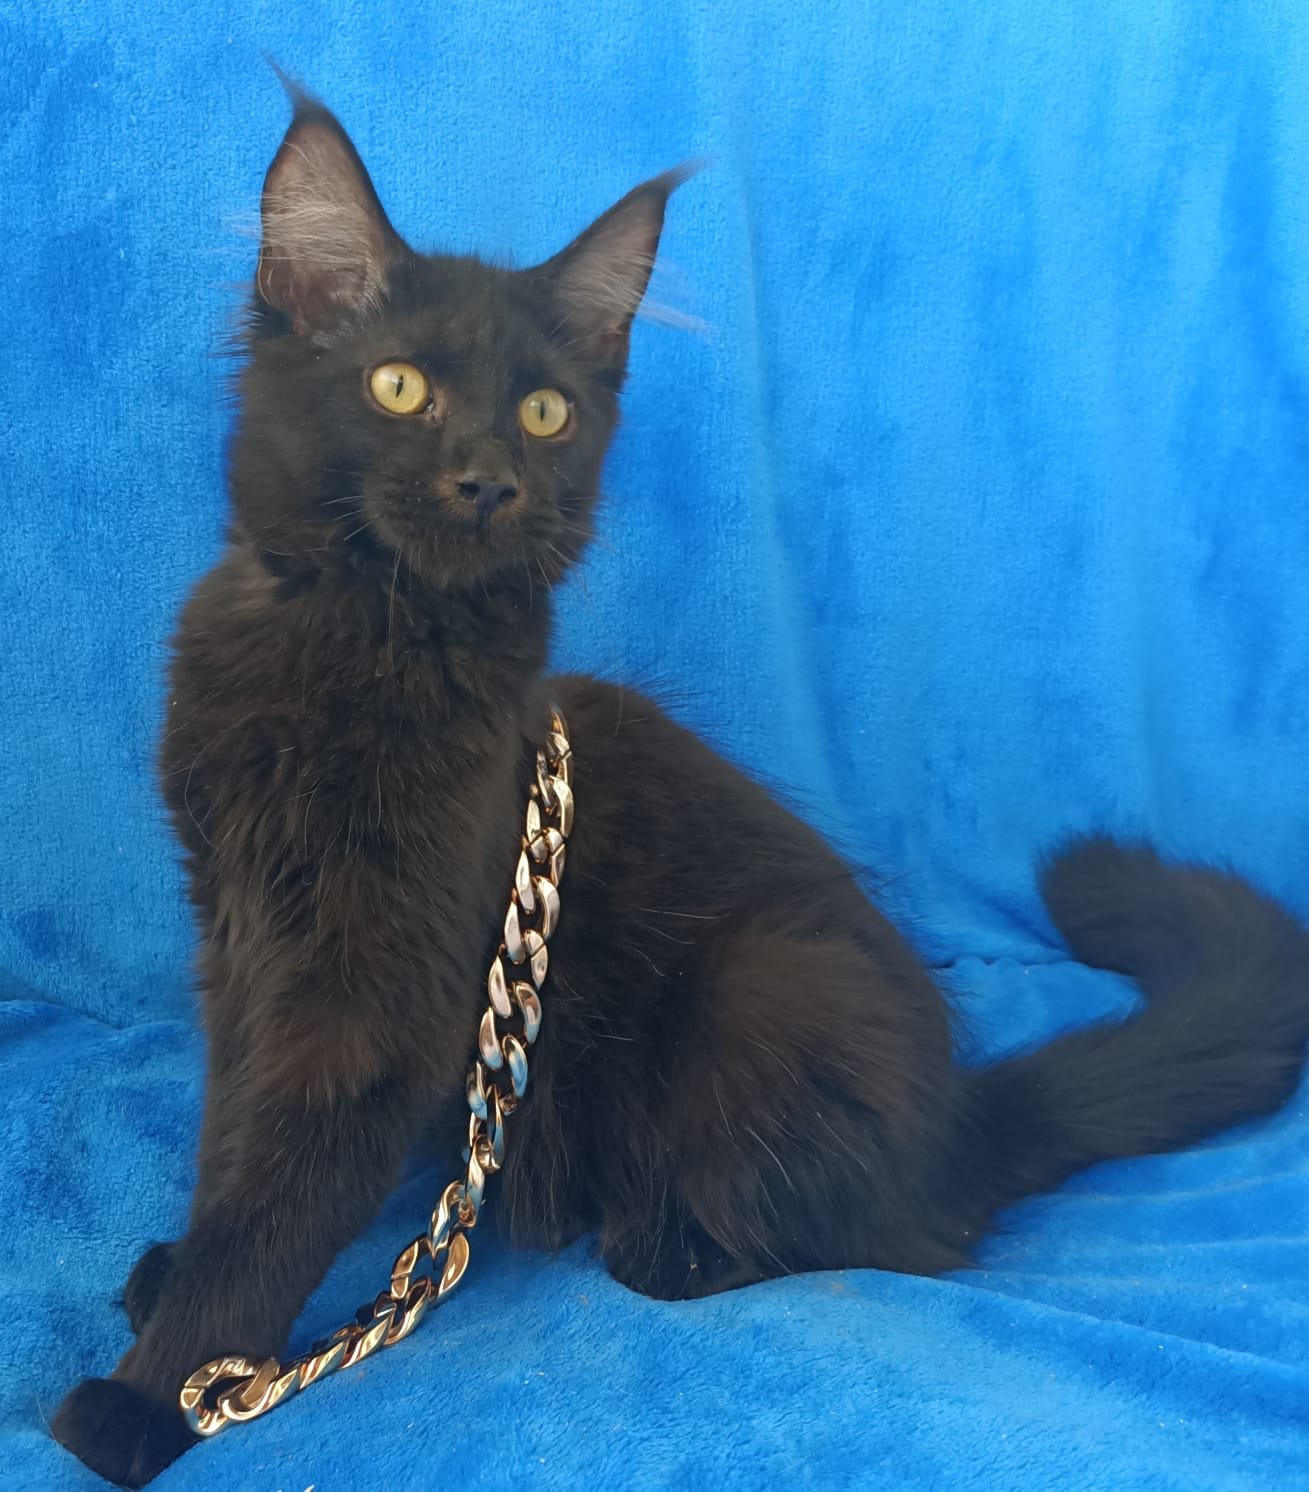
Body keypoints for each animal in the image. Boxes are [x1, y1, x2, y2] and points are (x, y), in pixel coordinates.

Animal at [52, 85, 1309, 1488]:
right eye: (399, 386)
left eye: (545, 414)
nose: (488, 478)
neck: (352, 648)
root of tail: (958, 1121)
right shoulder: (242, 932)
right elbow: (232, 1136)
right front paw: (177, 1278)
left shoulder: (375, 995)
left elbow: (281, 1191)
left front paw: (163, 1393)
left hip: (770, 981)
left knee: (868, 1236)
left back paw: (660, 1241)